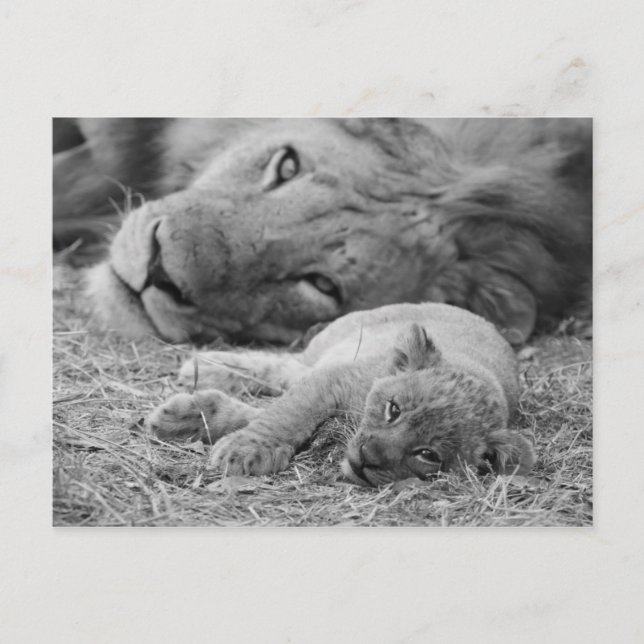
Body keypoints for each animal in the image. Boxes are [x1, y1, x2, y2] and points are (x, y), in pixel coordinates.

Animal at [146, 303, 535, 486]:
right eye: (394, 410)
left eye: (428, 455)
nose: (366, 457)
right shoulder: (336, 378)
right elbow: (286, 415)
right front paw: (245, 450)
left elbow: (263, 413)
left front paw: (192, 417)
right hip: (332, 345)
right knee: (284, 367)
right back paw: (204, 366)